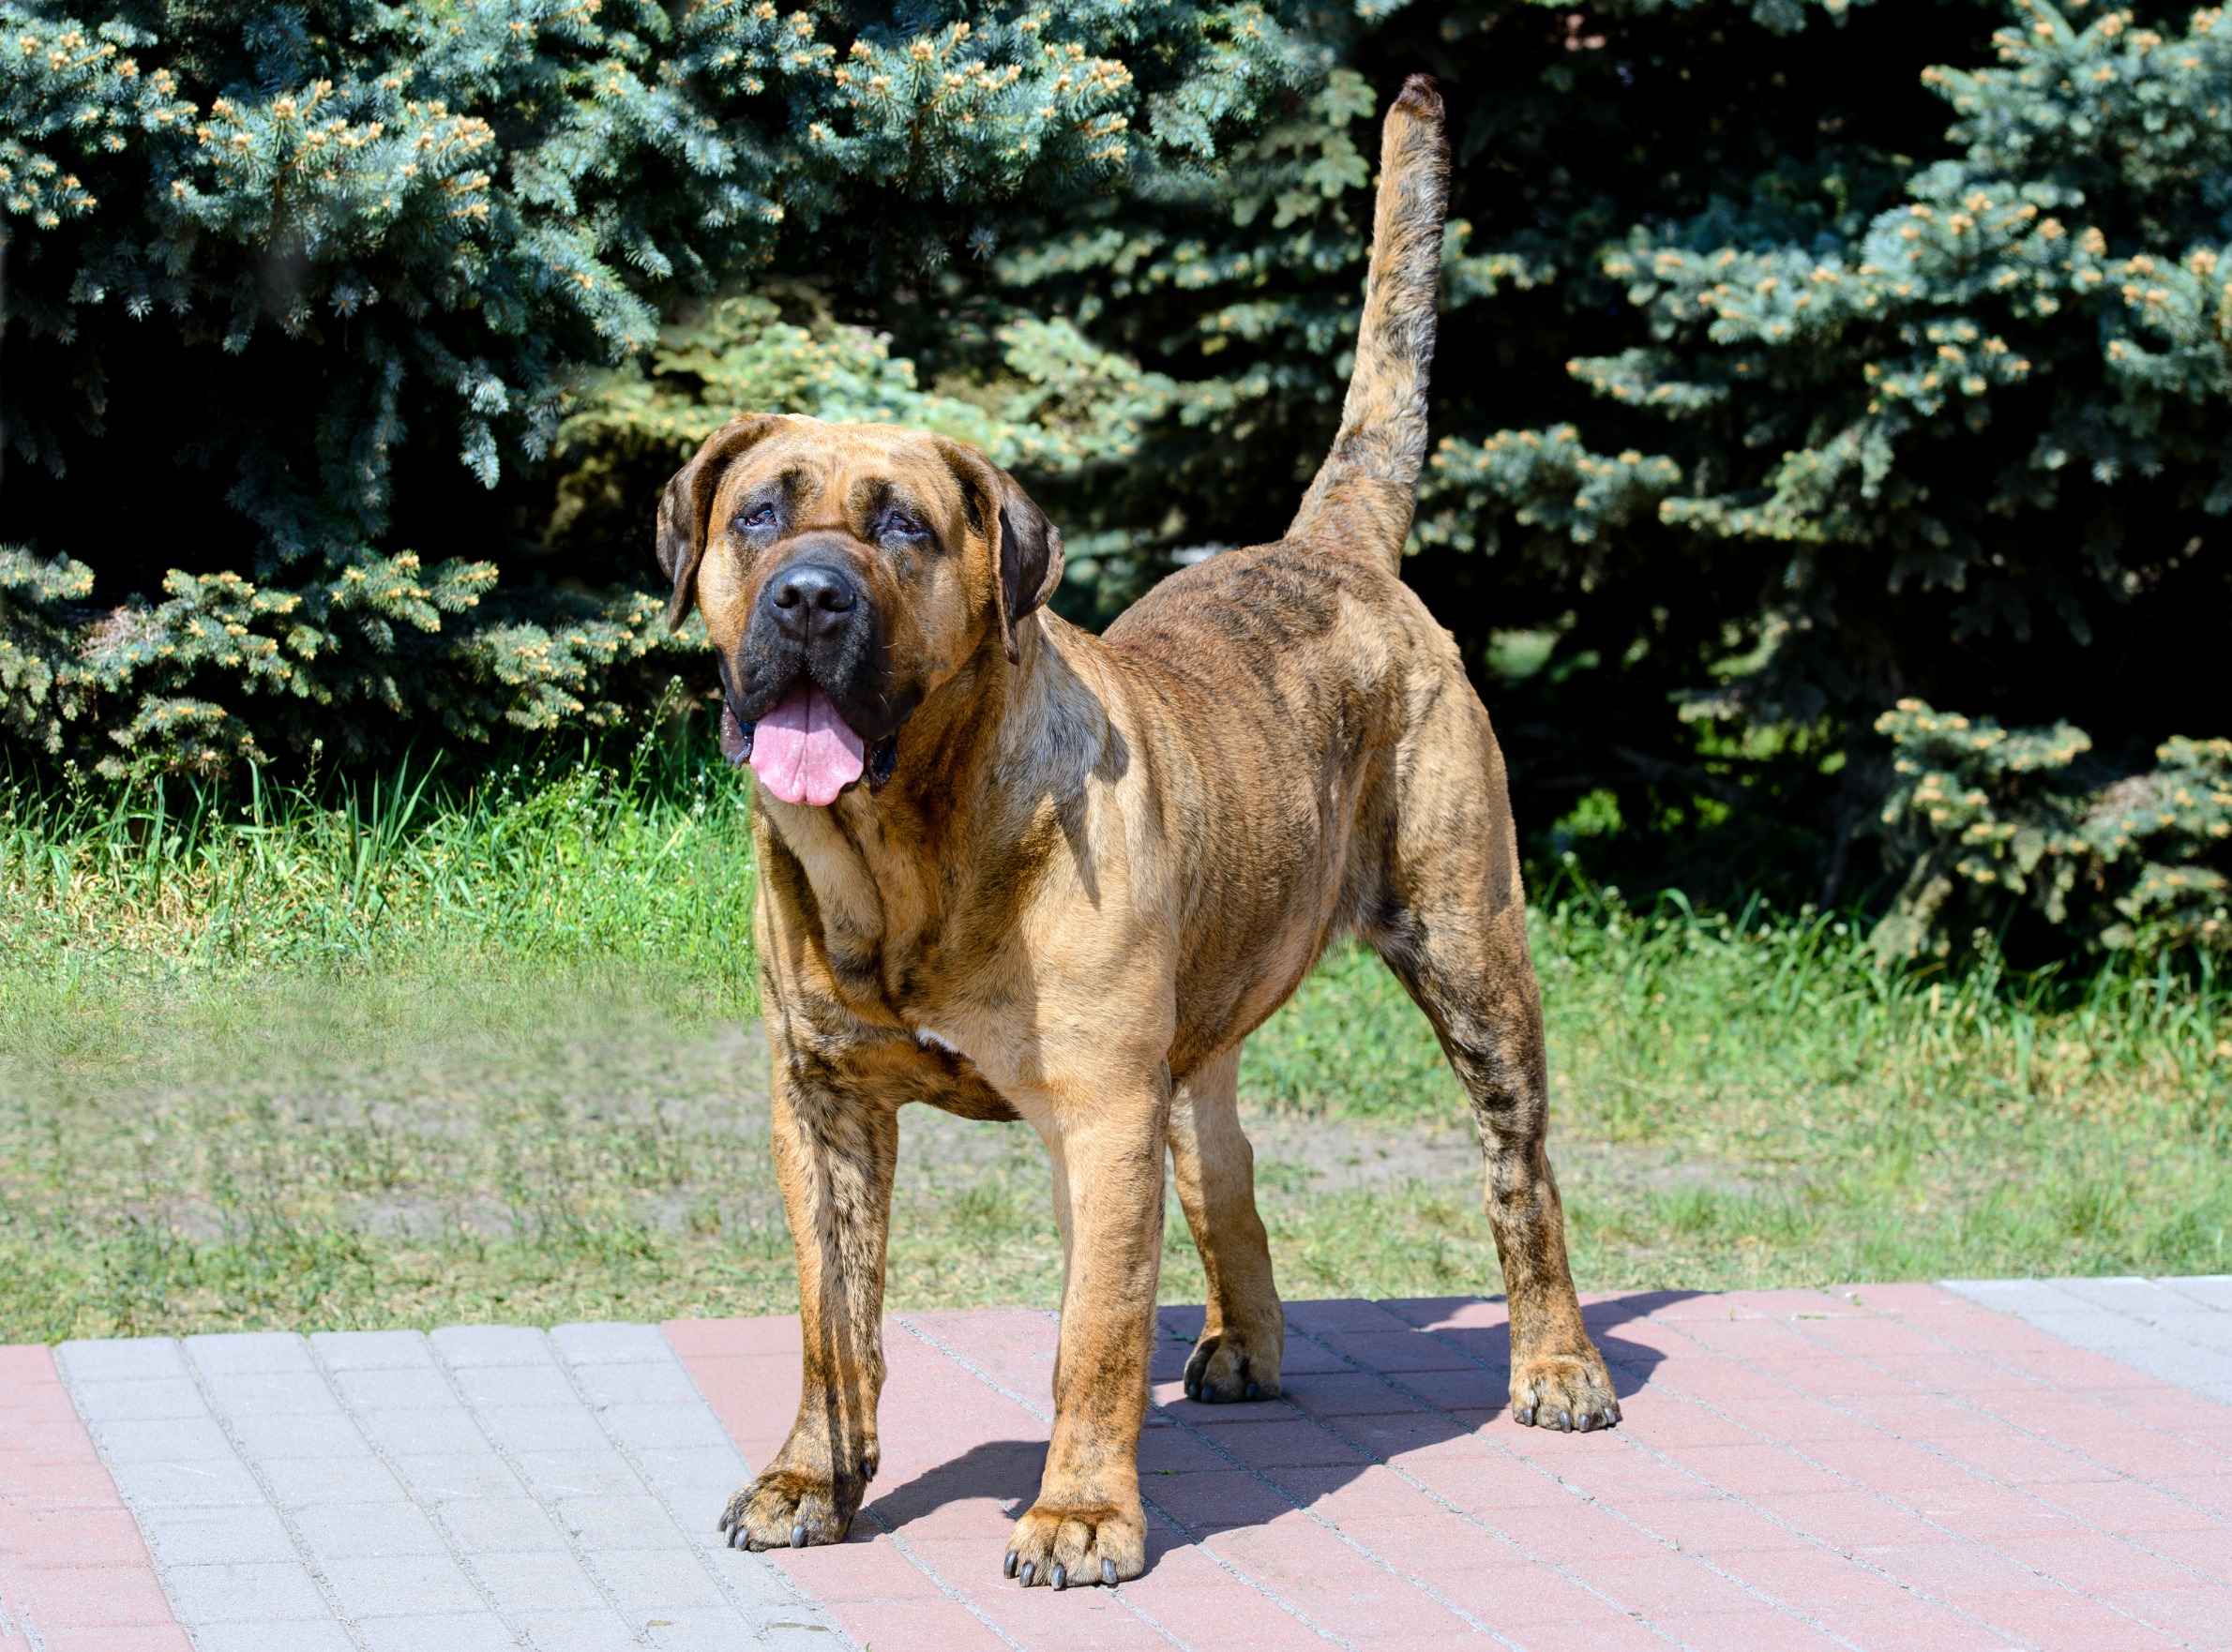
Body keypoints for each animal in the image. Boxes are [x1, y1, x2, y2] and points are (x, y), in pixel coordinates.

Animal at [651, 74, 1616, 1589]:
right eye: (759, 514)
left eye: (904, 529)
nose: (808, 597)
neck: (907, 846)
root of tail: (1332, 548)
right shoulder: (822, 1103)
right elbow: (831, 1319)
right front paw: (814, 1477)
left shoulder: (1100, 1114)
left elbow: (1092, 1336)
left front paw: (1083, 1512)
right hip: (1202, 1022)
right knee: (1225, 1169)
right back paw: (1244, 1343)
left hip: (1471, 951)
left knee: (1521, 1172)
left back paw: (1559, 1365)